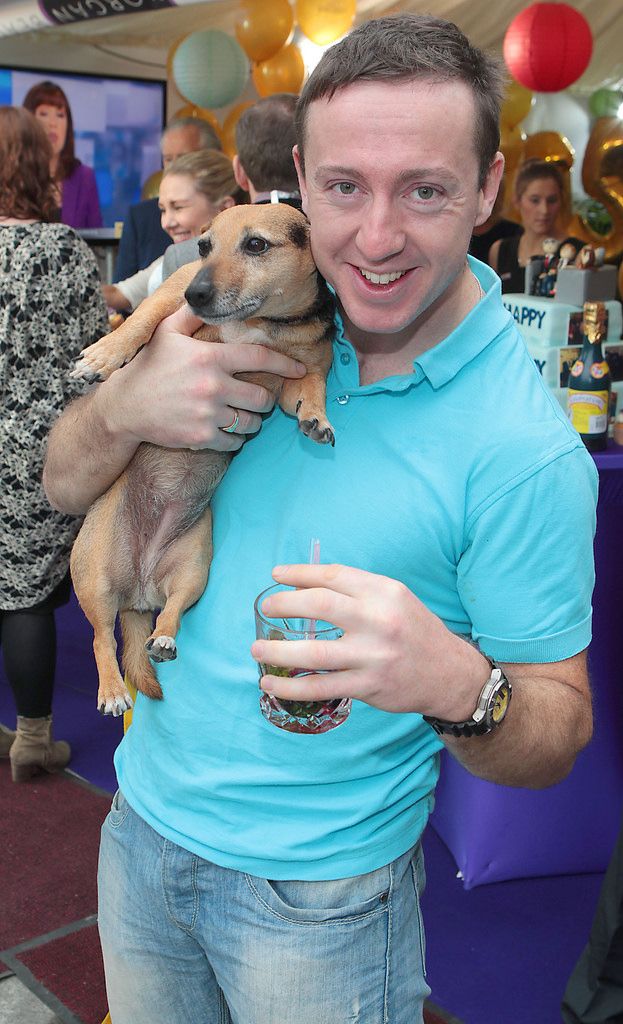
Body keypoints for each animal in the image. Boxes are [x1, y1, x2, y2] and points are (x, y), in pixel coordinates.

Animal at [68, 203, 336, 716]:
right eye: (203, 246)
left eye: (256, 245)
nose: (198, 292)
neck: (262, 323)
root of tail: (138, 594)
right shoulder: (167, 299)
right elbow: (139, 323)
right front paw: (104, 355)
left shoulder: (295, 374)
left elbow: (312, 385)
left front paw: (317, 416)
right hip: (94, 576)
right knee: (98, 637)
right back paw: (111, 689)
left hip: (193, 568)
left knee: (166, 616)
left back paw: (163, 640)